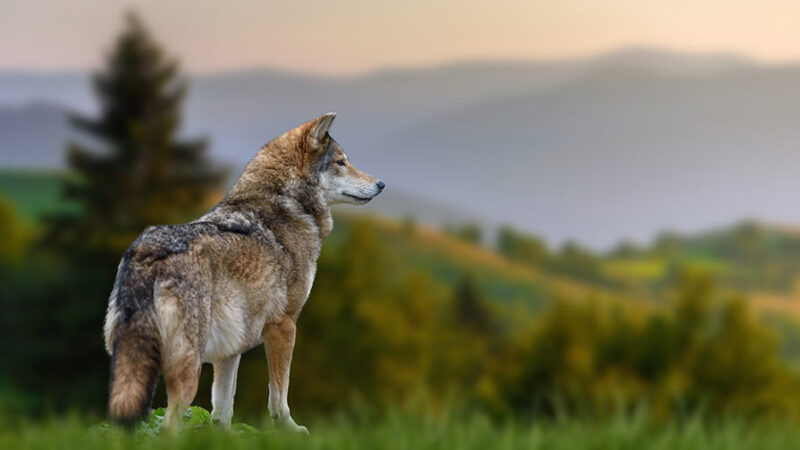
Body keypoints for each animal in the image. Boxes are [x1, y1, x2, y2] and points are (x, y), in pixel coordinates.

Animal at [103, 112, 384, 432]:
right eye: (341, 162)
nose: (381, 184)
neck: (286, 205)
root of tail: (147, 253)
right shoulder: (284, 326)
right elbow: (279, 396)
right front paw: (291, 430)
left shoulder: (231, 347)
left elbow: (223, 409)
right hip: (187, 371)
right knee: (167, 427)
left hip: (130, 371)